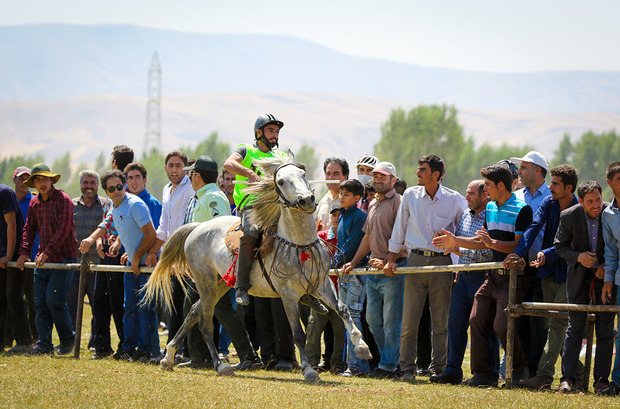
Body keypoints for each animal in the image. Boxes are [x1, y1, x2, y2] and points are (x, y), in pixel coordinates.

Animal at [143, 155, 370, 382]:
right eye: (281, 182)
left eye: (303, 175)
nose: (306, 200)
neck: (299, 244)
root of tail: (197, 227)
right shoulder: (288, 294)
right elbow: (298, 332)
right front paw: (308, 370)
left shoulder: (322, 284)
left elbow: (342, 309)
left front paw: (361, 346)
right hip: (205, 282)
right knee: (205, 323)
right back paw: (219, 365)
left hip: (219, 284)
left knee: (193, 312)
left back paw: (169, 357)